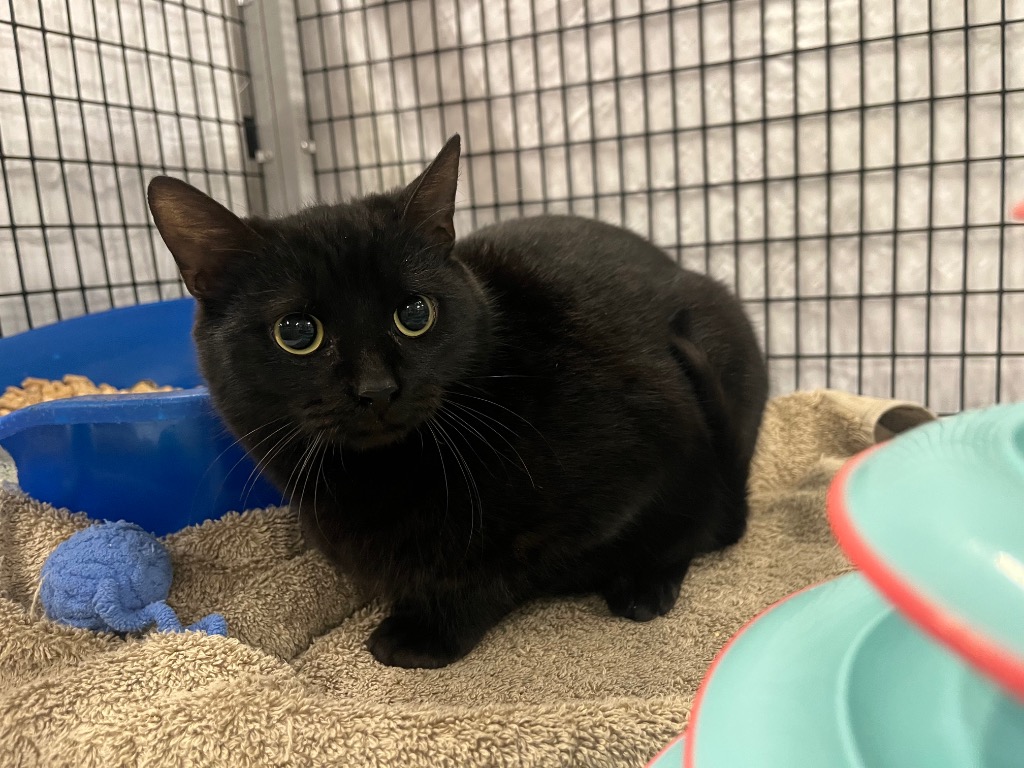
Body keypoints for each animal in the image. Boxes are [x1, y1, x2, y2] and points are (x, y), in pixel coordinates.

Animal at [147, 135, 769, 668]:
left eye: (415, 313)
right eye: (297, 332)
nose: (377, 388)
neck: (383, 479)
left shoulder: (637, 462)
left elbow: (503, 567)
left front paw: (425, 631)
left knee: (711, 519)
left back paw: (644, 586)